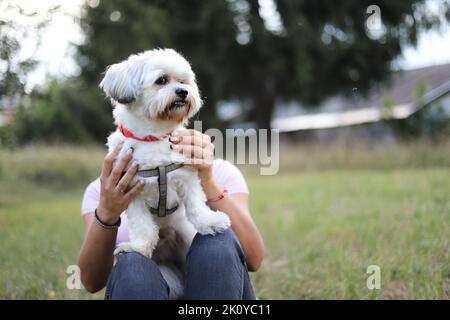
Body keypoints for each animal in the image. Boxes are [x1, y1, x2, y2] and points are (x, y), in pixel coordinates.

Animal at [100, 48, 230, 298]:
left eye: (183, 81)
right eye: (161, 80)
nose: (183, 92)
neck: (153, 138)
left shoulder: (187, 179)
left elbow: (197, 207)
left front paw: (210, 221)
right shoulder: (130, 192)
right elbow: (143, 227)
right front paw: (138, 247)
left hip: (185, 234)